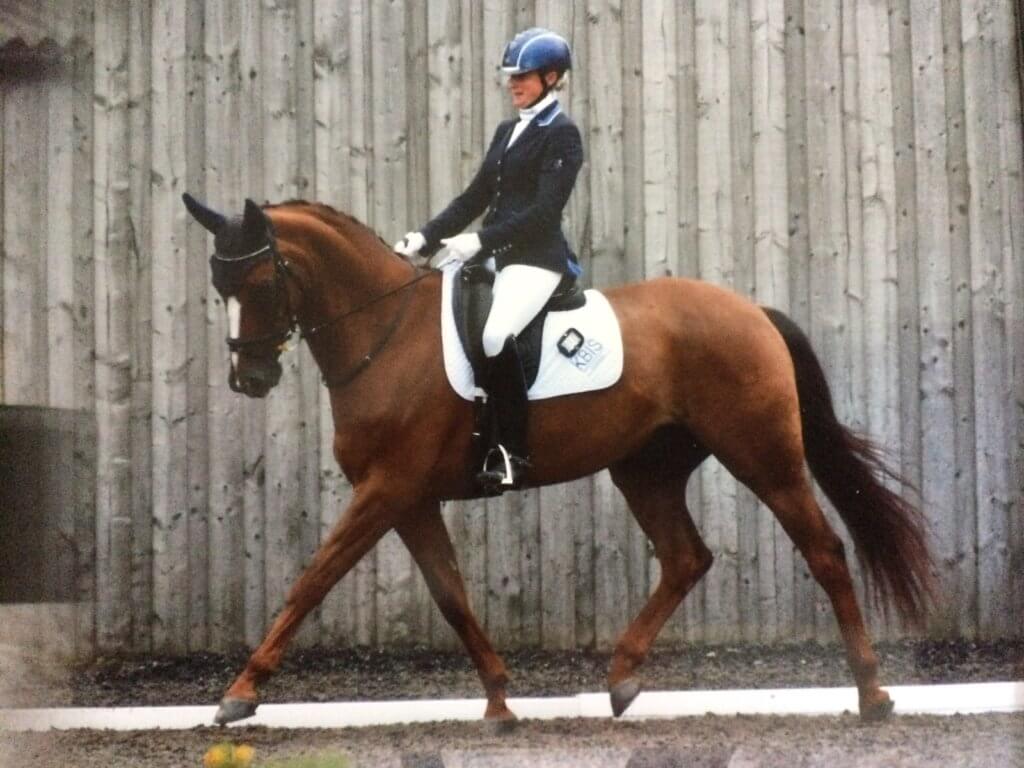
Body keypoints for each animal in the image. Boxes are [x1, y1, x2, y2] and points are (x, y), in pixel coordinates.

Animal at [181, 193, 935, 727]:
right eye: (219, 288)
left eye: (260, 280)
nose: (249, 379)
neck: (384, 334)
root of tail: (752, 311)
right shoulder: (410, 497)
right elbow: (451, 596)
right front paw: (498, 702)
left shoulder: (386, 489)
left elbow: (312, 580)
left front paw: (239, 694)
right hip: (645, 469)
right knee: (686, 557)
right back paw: (623, 679)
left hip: (762, 455)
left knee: (824, 550)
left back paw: (873, 695)